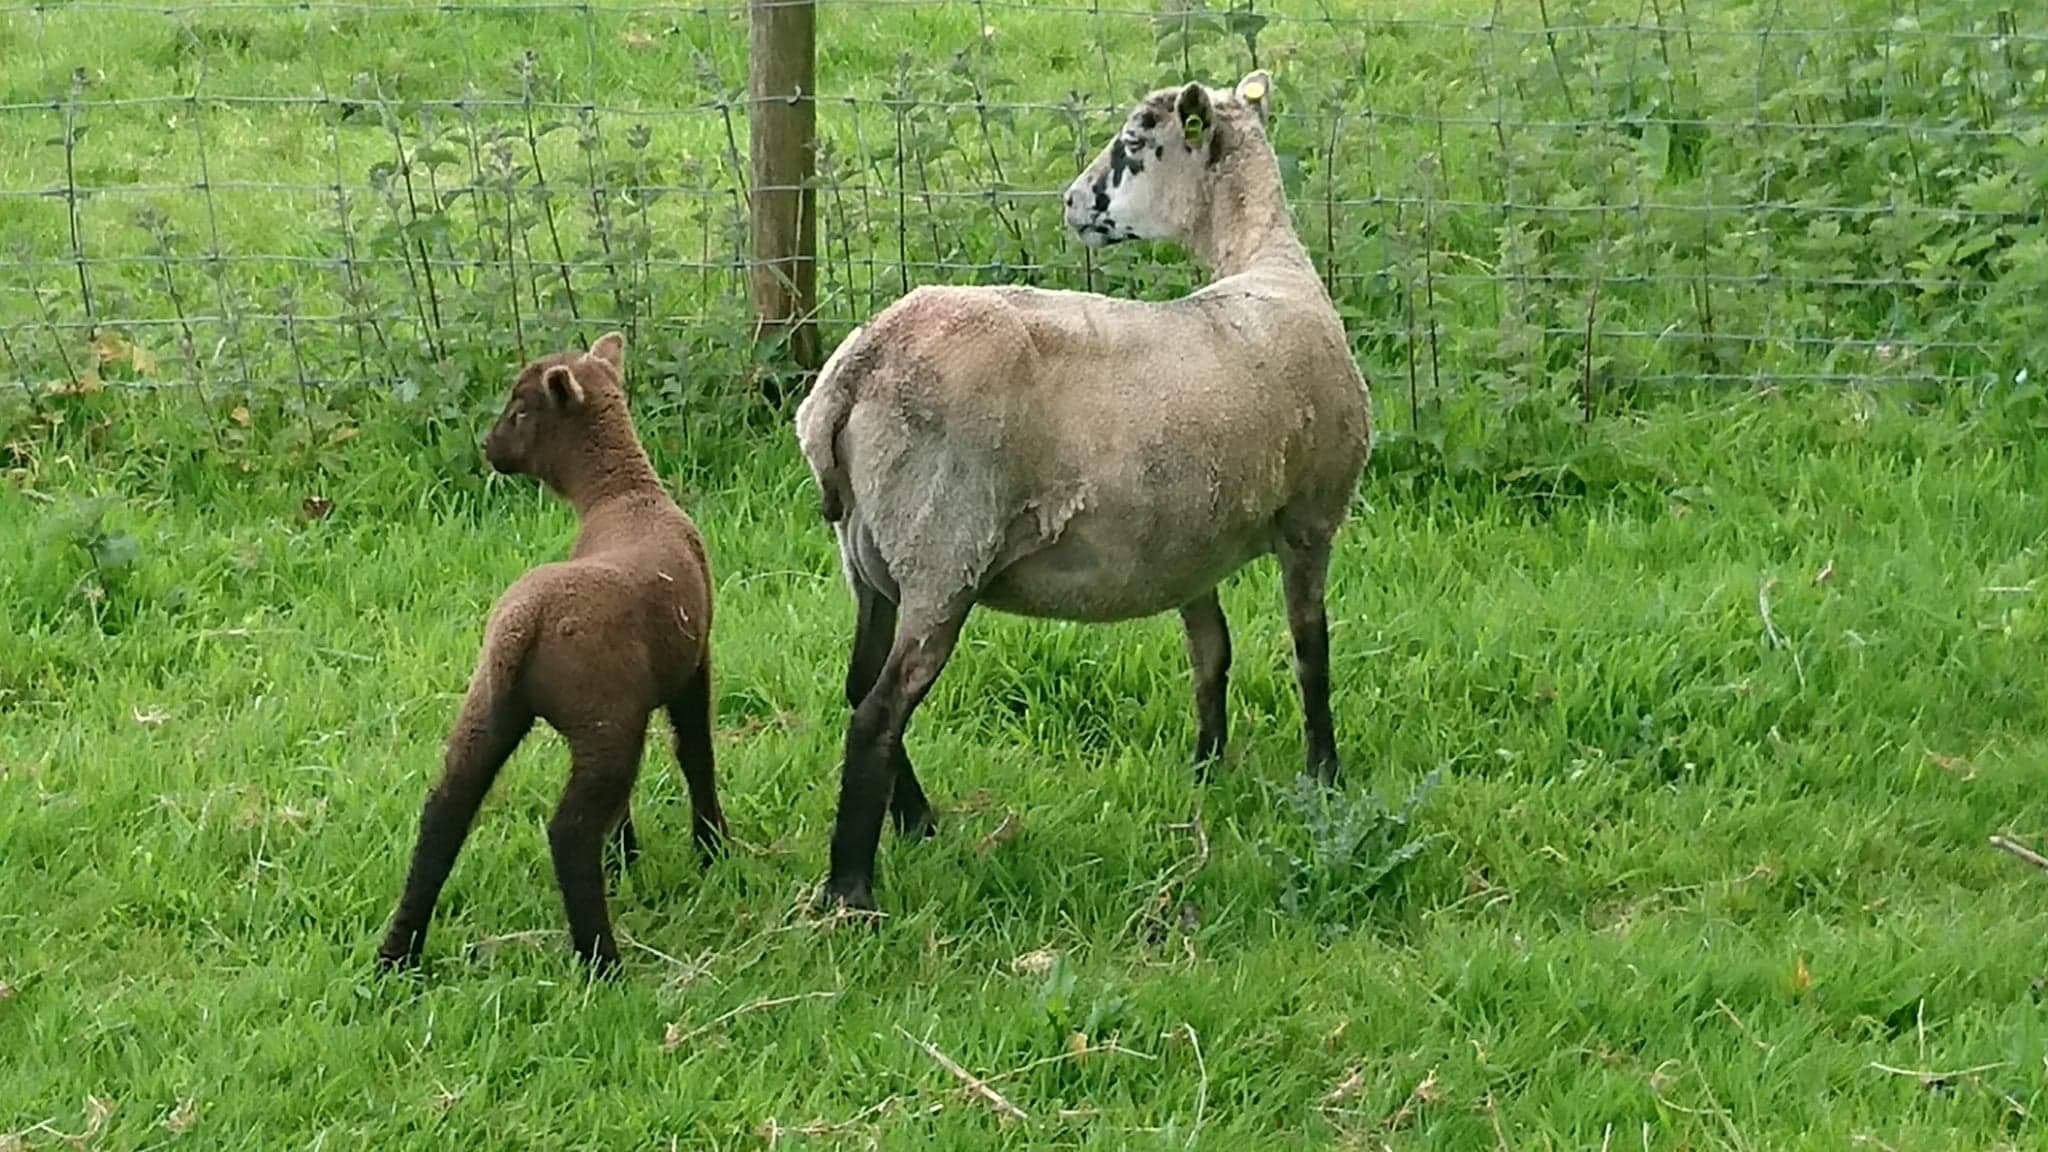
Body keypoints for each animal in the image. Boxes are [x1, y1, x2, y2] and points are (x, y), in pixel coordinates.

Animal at [380, 330, 724, 967]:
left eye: (518, 412)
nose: (489, 449)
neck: (625, 495)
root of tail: (525, 624)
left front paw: (628, 857)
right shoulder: (694, 662)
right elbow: (696, 752)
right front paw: (711, 847)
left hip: (494, 706)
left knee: (444, 811)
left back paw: (399, 954)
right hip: (604, 719)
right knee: (568, 833)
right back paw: (601, 960)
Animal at [790, 69, 1368, 906]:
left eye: (1131, 143)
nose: (1068, 202)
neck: (1270, 270)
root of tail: (854, 369)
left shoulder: (1192, 542)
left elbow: (1213, 653)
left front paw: (1207, 768)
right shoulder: (1311, 519)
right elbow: (1310, 650)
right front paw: (1325, 777)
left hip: (870, 557)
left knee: (859, 686)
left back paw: (918, 822)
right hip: (943, 551)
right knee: (877, 711)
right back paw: (854, 888)